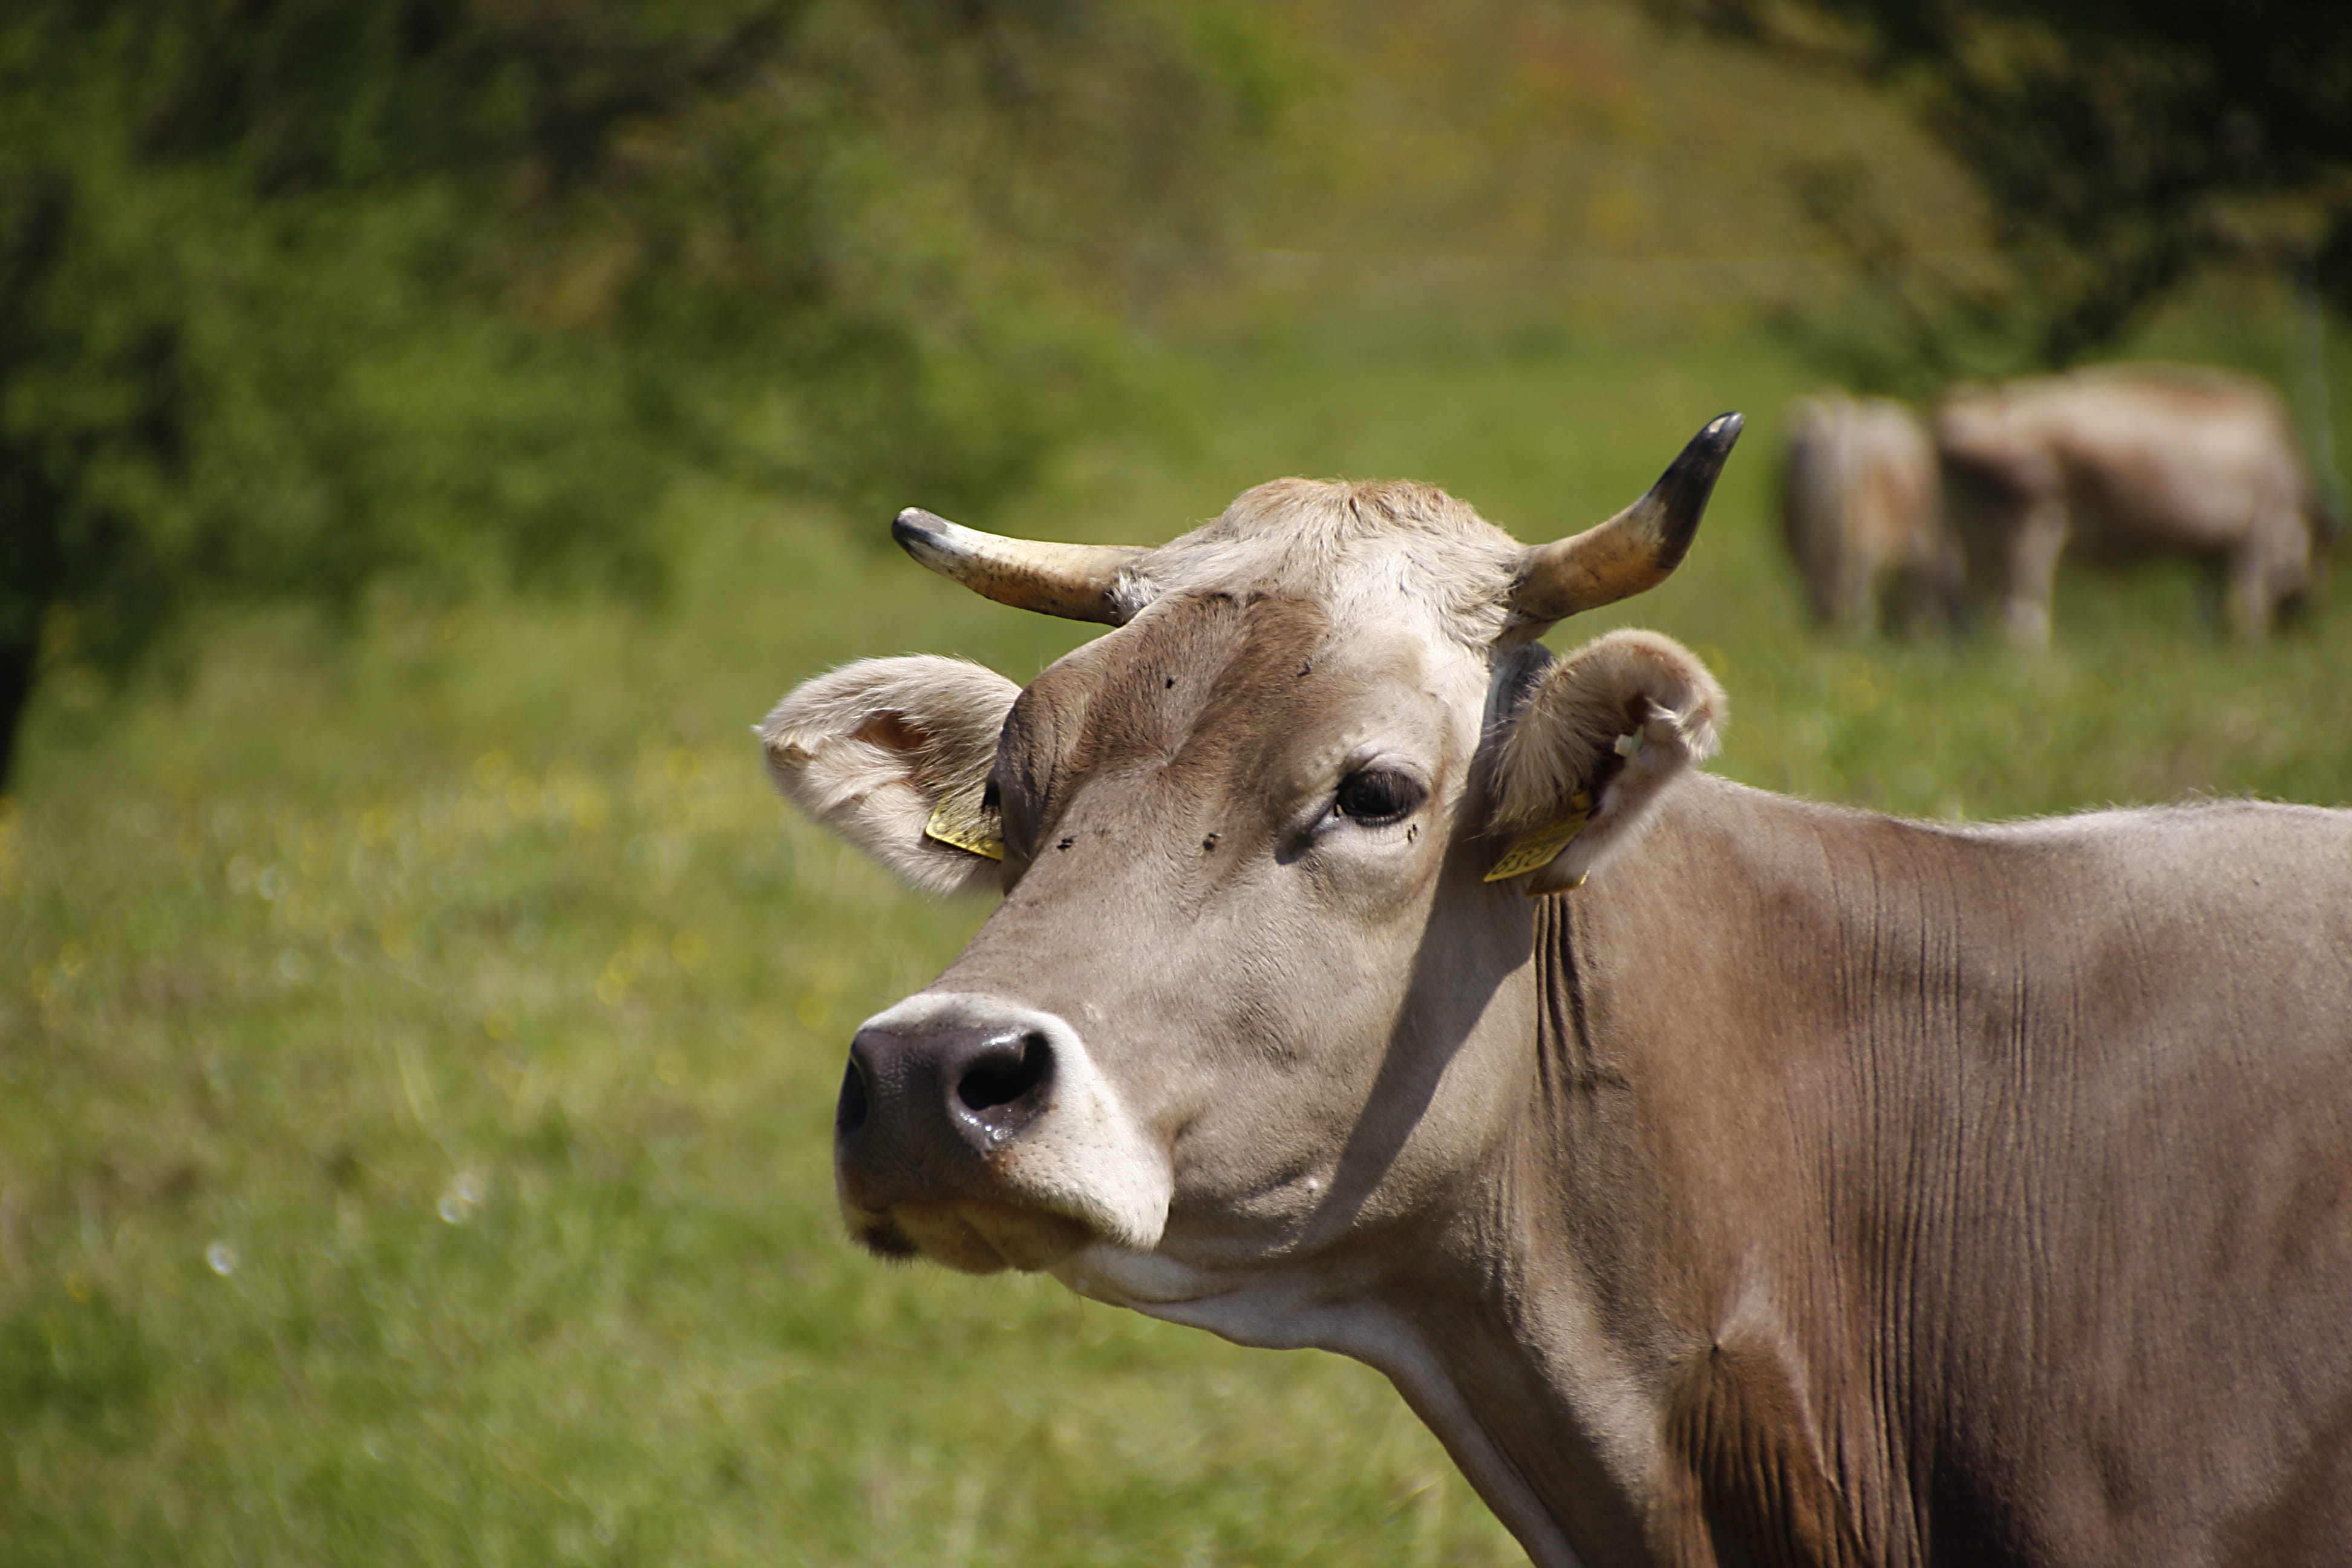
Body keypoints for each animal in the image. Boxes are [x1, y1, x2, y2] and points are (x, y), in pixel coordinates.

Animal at [1934, 366, 2331, 646]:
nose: (2302, 625)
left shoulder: (2211, 551)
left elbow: (2210, 608)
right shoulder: (2259, 533)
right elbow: (2249, 609)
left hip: (1976, 545)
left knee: (1970, 617)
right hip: (2031, 528)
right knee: (2021, 621)